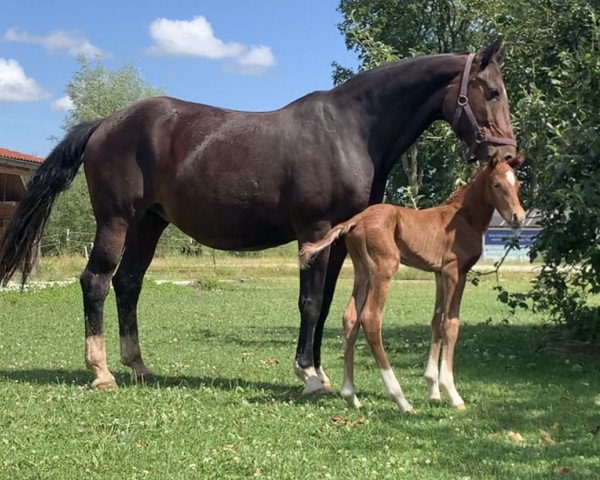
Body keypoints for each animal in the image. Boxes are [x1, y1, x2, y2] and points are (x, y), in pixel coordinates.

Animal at [0, 36, 516, 390]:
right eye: (490, 92)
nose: (508, 154)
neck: (350, 130)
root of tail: (106, 123)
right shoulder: (314, 230)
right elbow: (310, 302)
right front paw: (309, 374)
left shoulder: (338, 240)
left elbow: (325, 303)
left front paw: (320, 372)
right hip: (117, 220)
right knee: (97, 281)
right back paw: (101, 371)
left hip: (149, 222)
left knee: (128, 283)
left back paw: (139, 367)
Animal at [300, 158, 524, 412]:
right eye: (496, 184)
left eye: (518, 184)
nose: (518, 216)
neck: (463, 218)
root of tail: (355, 220)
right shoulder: (455, 272)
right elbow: (451, 323)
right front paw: (452, 393)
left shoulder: (439, 274)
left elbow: (437, 321)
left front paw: (433, 391)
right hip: (384, 268)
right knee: (370, 318)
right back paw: (401, 399)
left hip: (362, 270)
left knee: (350, 317)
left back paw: (350, 395)